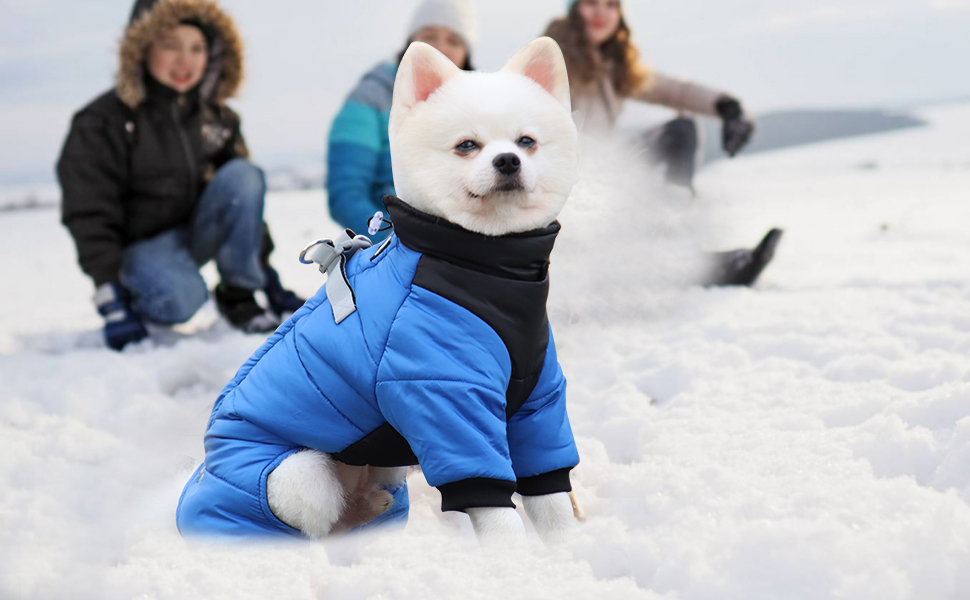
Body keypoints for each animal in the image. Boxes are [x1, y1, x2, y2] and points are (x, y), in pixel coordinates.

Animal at [177, 36, 580, 544]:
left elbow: (551, 495)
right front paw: (514, 556)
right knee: (310, 520)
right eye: (467, 146)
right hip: (294, 476)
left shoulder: (537, 399)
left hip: (383, 470)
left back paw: (369, 512)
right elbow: (494, 506)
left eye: (527, 141)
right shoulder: (443, 397)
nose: (508, 160)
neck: (491, 270)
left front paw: (568, 550)